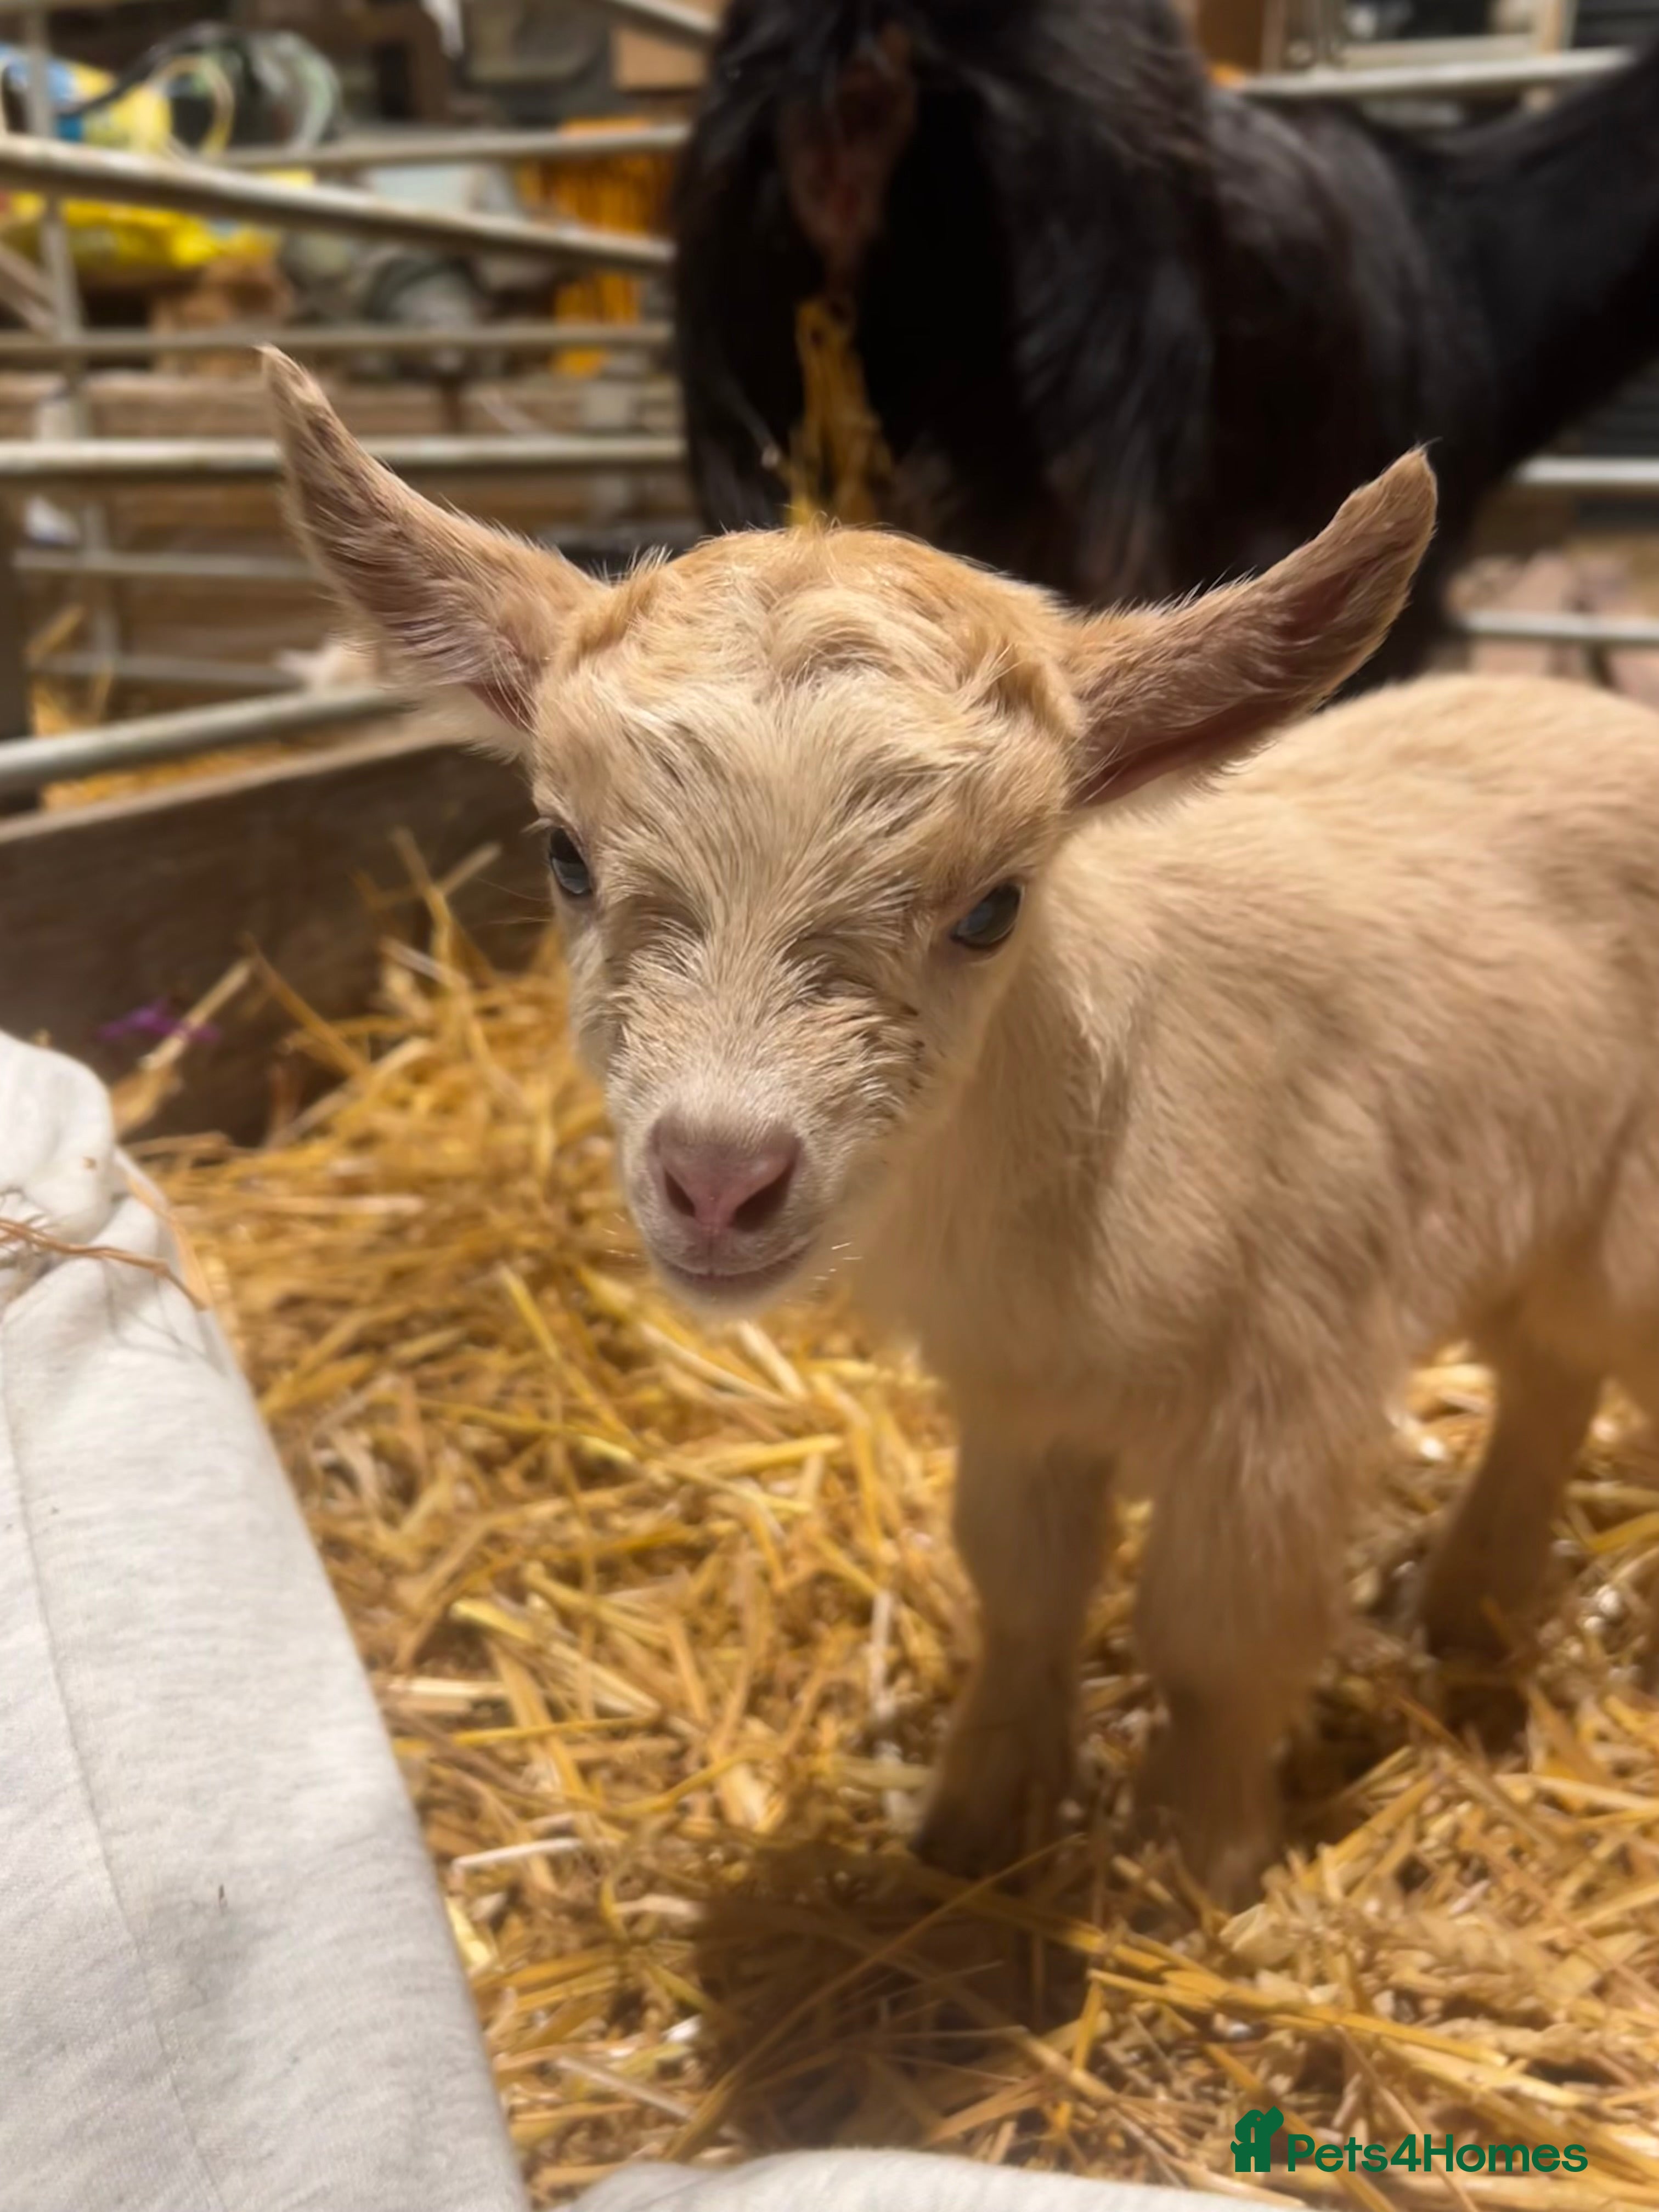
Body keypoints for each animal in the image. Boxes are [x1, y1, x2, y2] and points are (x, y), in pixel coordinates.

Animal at [268, 349, 1659, 1905]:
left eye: (994, 905)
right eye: (565, 857)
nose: (718, 1177)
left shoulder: (1286, 1389)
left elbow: (1217, 1642)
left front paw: (1204, 1863)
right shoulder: (1018, 1397)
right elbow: (1025, 1592)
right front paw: (974, 1825)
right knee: (1550, 1375)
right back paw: (1471, 1609)